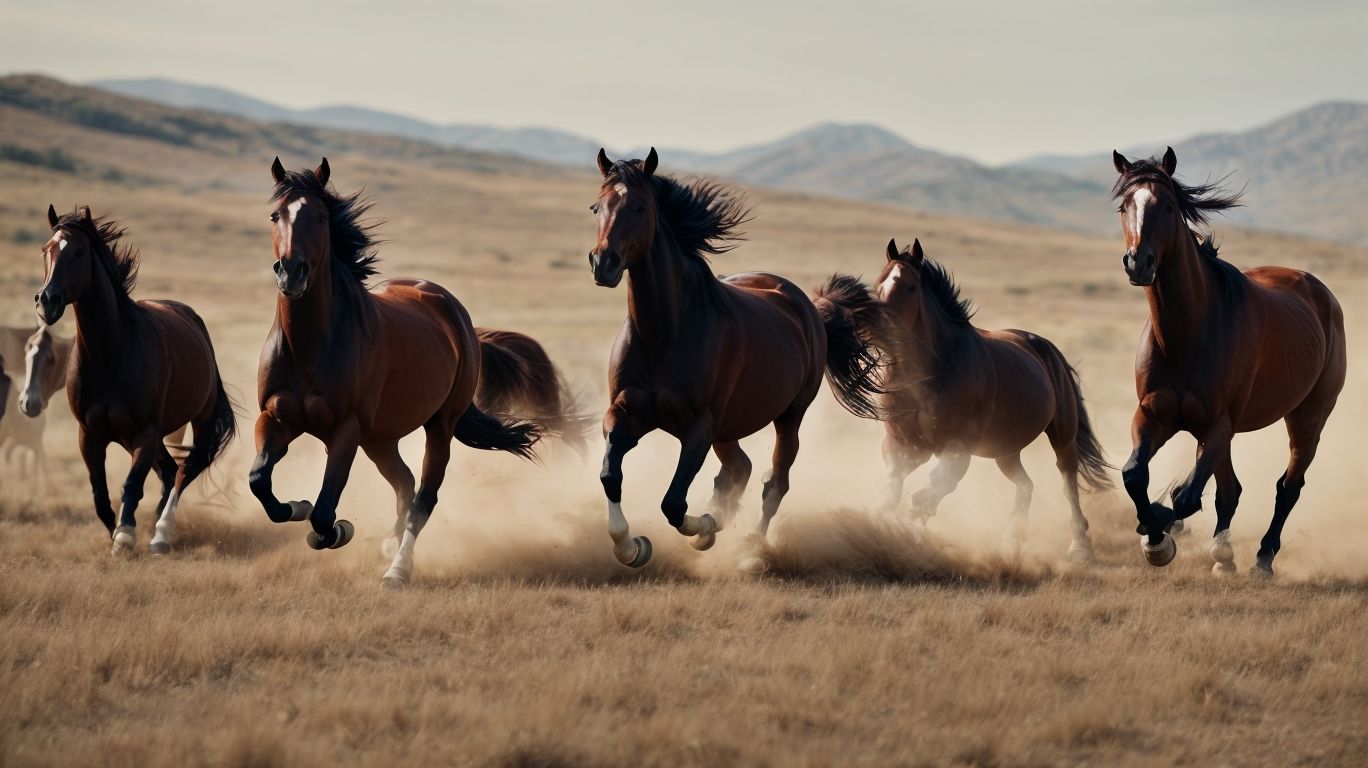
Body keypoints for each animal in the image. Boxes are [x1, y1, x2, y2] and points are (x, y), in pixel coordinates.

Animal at [35, 205, 238, 555]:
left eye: (79, 252)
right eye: (47, 250)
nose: (48, 301)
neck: (108, 355)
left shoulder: (144, 433)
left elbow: (131, 485)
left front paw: (126, 535)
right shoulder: (89, 435)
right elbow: (100, 494)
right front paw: (115, 532)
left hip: (198, 421)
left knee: (185, 470)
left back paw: (162, 533)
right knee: (169, 471)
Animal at [249, 158, 545, 589]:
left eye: (321, 217)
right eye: (276, 216)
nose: (292, 273)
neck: (309, 346)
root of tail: (452, 308)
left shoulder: (346, 430)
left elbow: (325, 510)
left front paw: (336, 531)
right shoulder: (275, 417)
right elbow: (261, 482)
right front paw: (297, 506)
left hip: (438, 427)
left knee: (423, 498)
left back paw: (397, 570)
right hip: (380, 438)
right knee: (404, 484)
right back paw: (389, 546)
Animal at [588, 148, 884, 570]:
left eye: (640, 207)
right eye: (597, 206)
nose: (604, 264)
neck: (665, 334)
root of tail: (808, 306)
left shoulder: (698, 427)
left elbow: (674, 504)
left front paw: (706, 526)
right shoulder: (625, 414)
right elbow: (611, 477)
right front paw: (633, 547)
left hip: (788, 417)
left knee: (773, 484)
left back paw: (751, 550)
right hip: (729, 428)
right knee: (738, 468)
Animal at [846, 238, 1112, 560]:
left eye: (910, 286)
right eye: (878, 284)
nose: (874, 329)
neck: (927, 372)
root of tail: (1047, 348)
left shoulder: (958, 445)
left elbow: (929, 495)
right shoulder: (905, 444)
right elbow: (890, 492)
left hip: (1062, 436)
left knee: (1068, 482)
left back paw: (1079, 548)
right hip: (1006, 450)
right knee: (1025, 485)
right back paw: (1012, 540)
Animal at [1112, 147, 1346, 576]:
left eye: (1168, 206)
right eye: (1125, 206)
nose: (1139, 263)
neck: (1186, 335)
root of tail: (1319, 290)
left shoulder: (1217, 423)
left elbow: (1186, 497)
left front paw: (1160, 532)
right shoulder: (1153, 415)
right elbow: (1135, 474)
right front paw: (1154, 533)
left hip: (1308, 417)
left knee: (1288, 488)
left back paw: (1263, 558)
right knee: (1230, 490)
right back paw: (1223, 555)